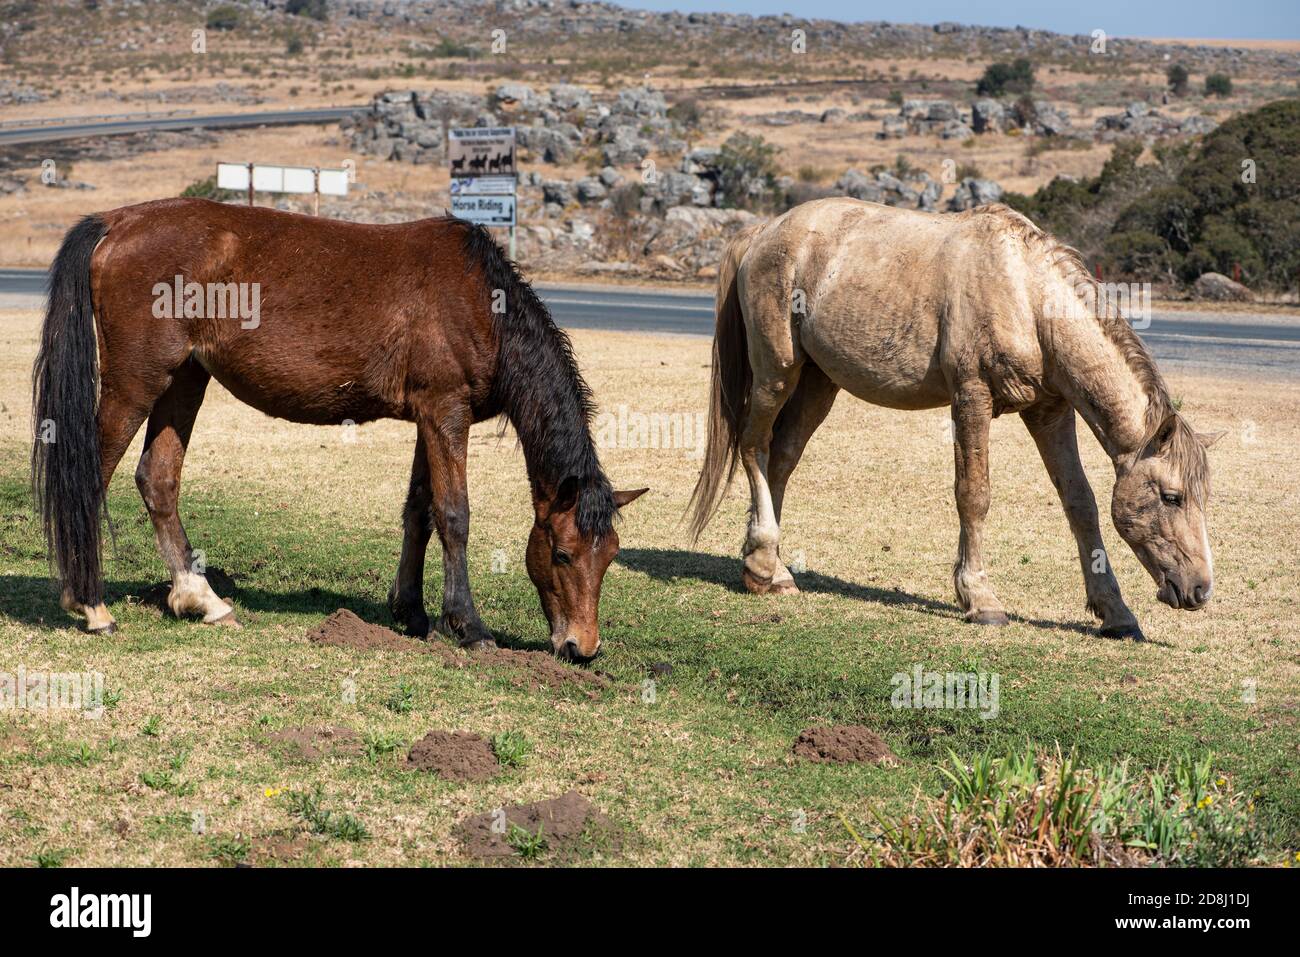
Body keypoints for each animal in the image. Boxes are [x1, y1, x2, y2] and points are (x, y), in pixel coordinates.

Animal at [32, 198, 646, 661]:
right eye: (561, 554)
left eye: (610, 556)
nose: (581, 647)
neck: (481, 302)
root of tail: (119, 221)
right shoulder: (446, 412)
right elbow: (454, 516)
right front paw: (467, 625)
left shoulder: (428, 419)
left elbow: (419, 511)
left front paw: (411, 612)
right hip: (138, 381)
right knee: (91, 475)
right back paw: (90, 604)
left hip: (184, 379)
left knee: (157, 480)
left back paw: (201, 599)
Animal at [688, 198, 1221, 640]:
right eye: (1172, 497)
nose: (1200, 589)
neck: (1025, 296)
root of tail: (762, 232)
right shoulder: (972, 399)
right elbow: (974, 496)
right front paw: (980, 598)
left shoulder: (1049, 411)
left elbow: (1080, 504)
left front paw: (1116, 612)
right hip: (777, 373)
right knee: (754, 446)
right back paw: (764, 561)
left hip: (820, 384)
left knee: (781, 459)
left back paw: (768, 567)